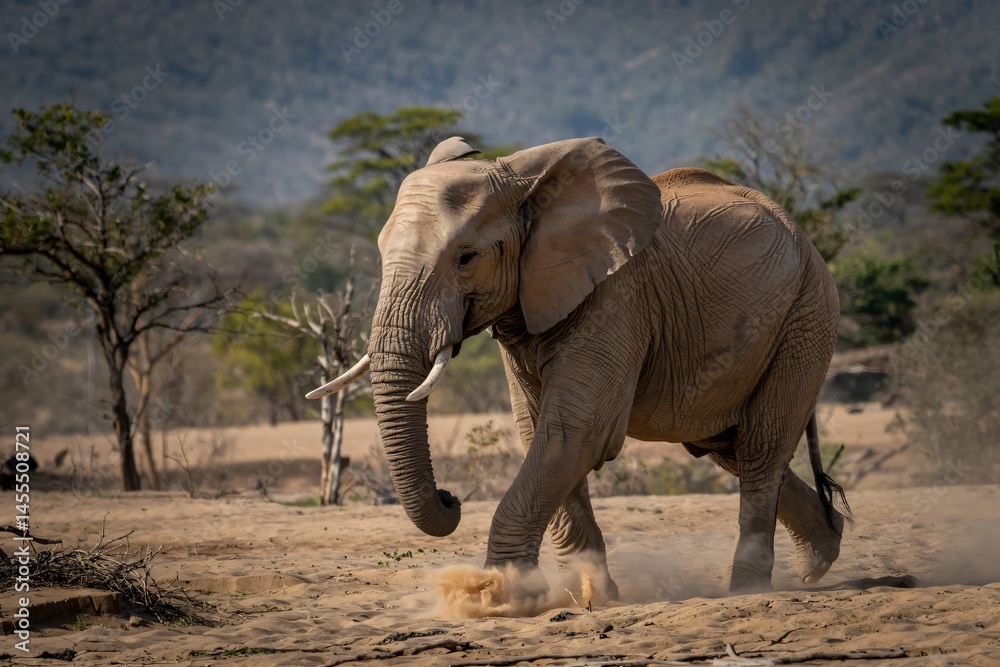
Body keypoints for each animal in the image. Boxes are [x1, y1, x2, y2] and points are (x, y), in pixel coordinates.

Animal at [308, 135, 849, 597]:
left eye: (466, 258)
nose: (450, 497)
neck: (527, 182)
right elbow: (538, 429)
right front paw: (586, 597)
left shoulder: (618, 295)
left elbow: (575, 428)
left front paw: (500, 597)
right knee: (726, 445)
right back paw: (821, 556)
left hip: (808, 314)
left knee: (760, 447)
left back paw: (748, 590)